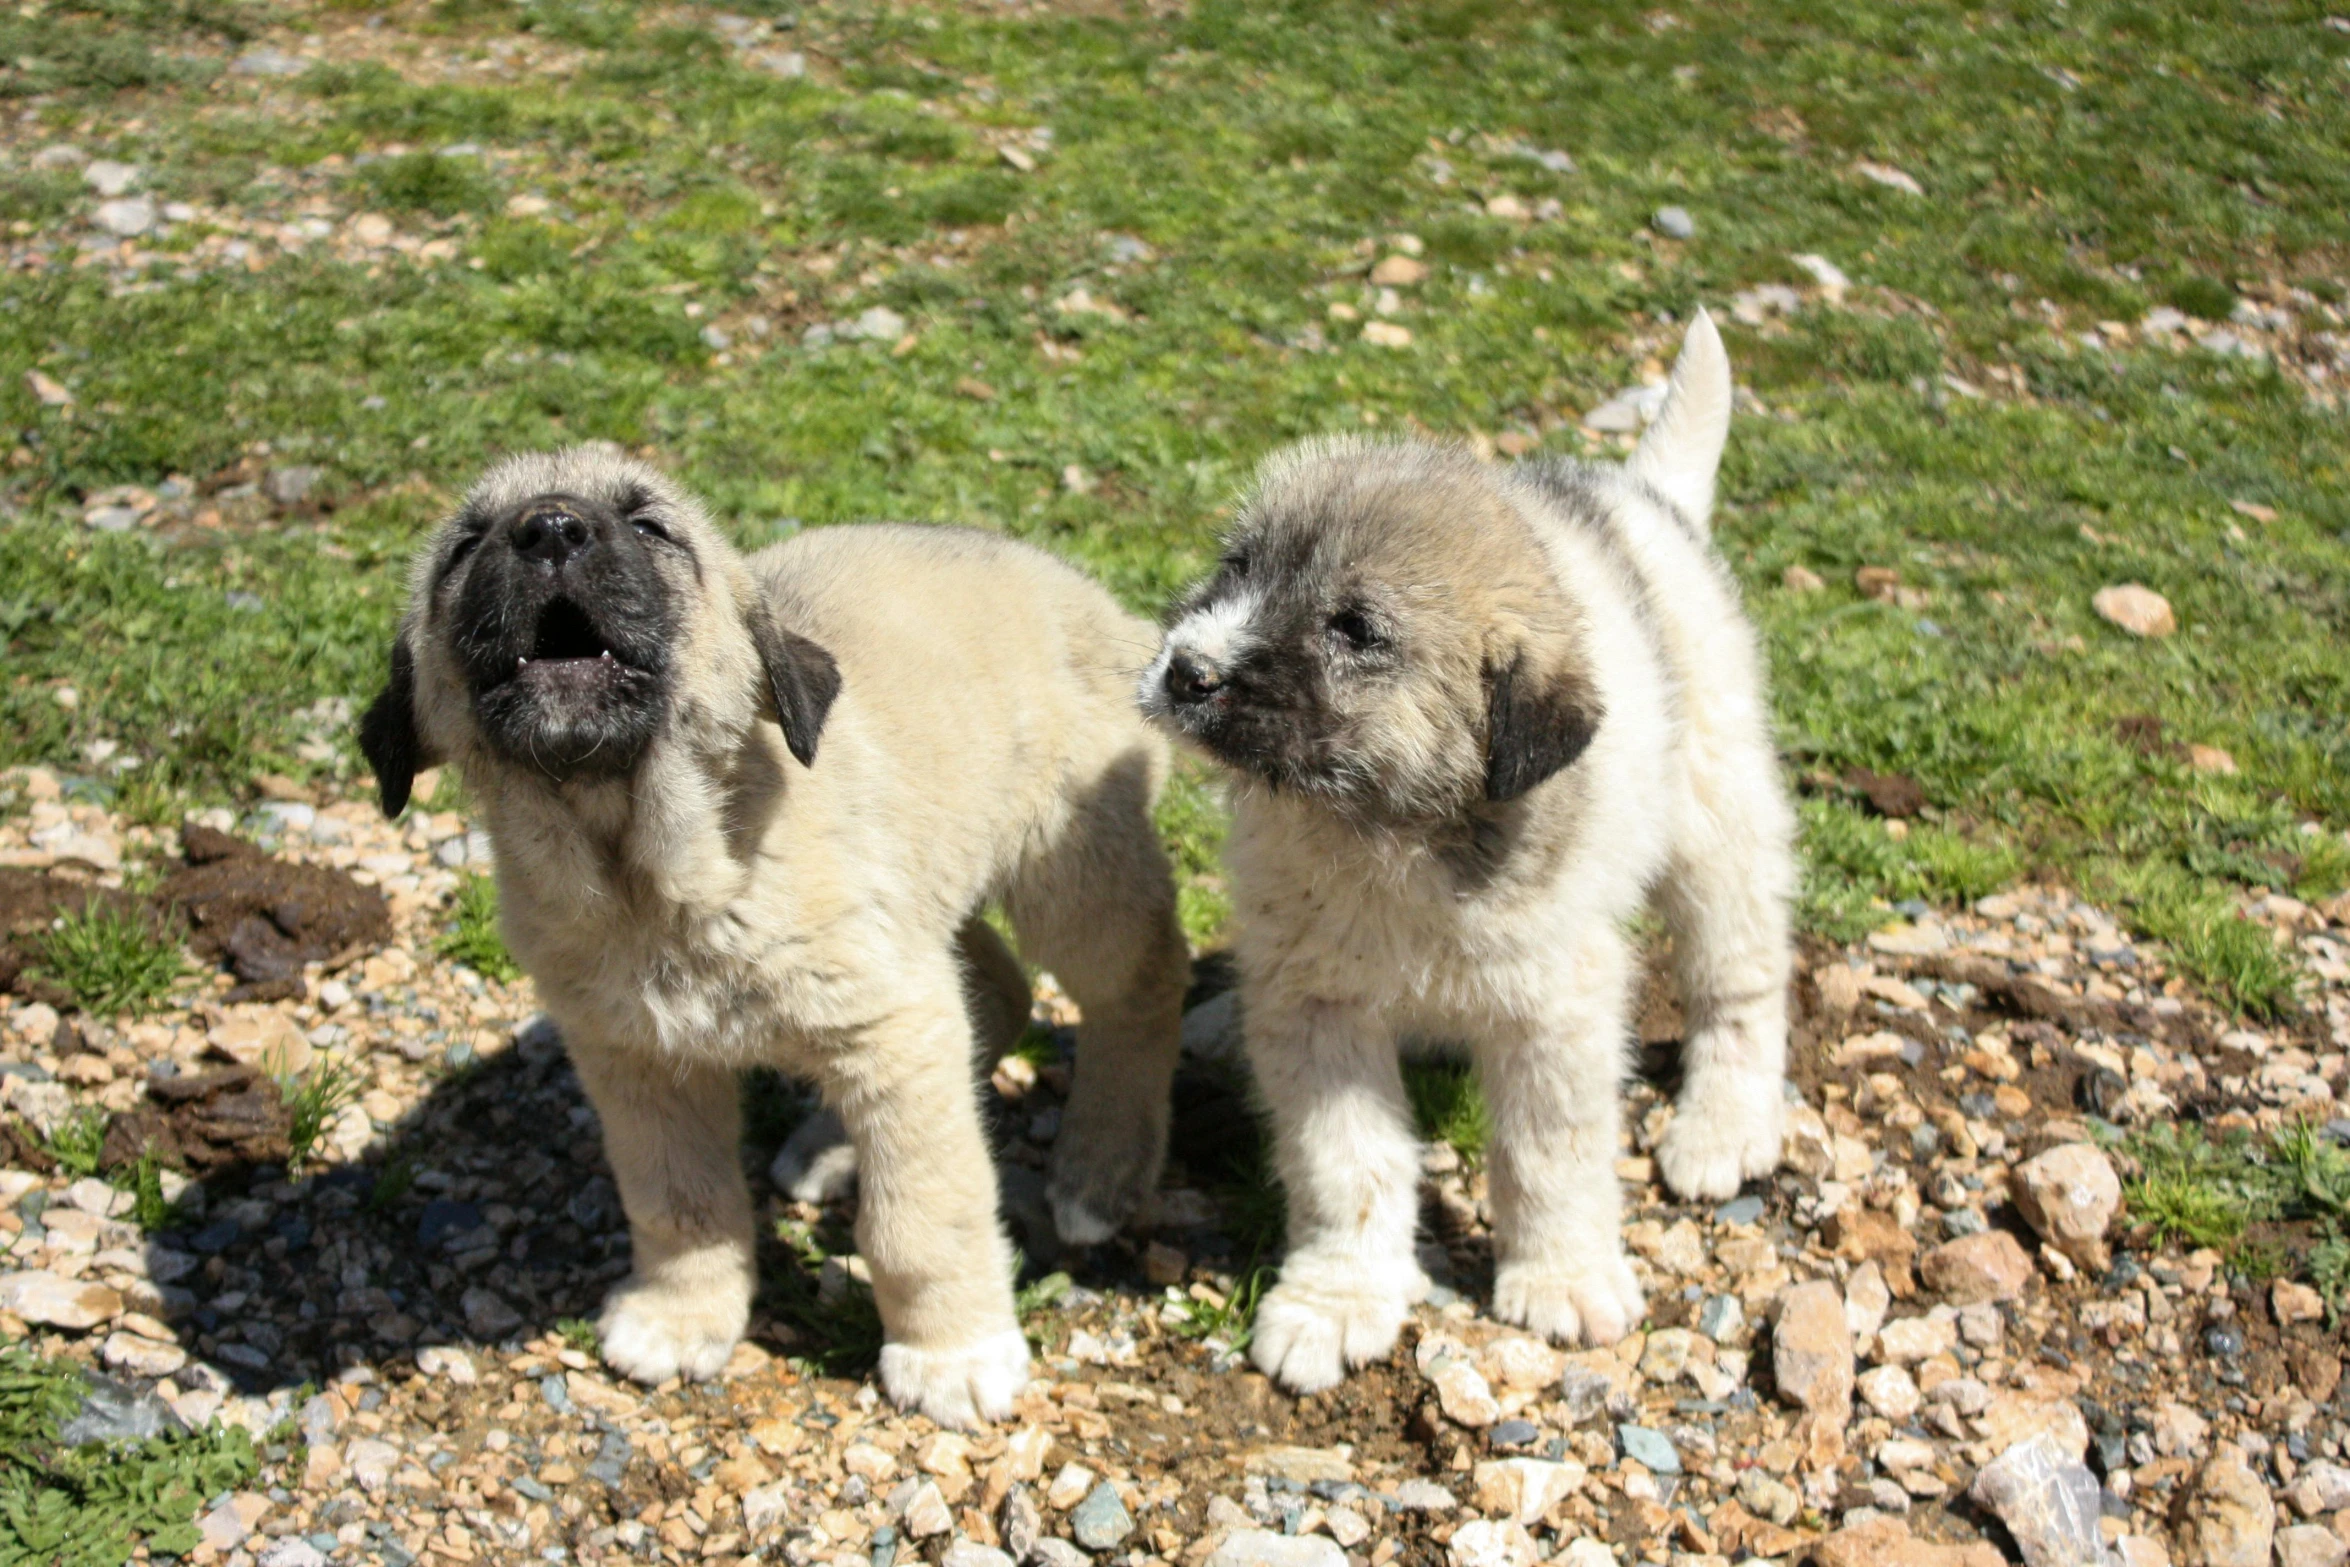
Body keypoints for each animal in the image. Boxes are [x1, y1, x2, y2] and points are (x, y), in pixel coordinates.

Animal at [354, 446, 1184, 1428]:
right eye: (464, 547)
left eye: (651, 526)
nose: (550, 528)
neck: (651, 879)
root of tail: (1105, 610)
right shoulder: (638, 1059)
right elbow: (679, 1201)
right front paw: (683, 1316)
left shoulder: (893, 1019)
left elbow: (921, 1214)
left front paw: (952, 1351)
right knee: (998, 991)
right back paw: (832, 1142)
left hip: (1071, 871)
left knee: (1141, 986)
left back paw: (1102, 1171)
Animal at [1146, 312, 1785, 1390]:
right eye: (1237, 567)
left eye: (1355, 628)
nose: (1186, 668)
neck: (1389, 832)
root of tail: (1643, 501)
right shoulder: (1318, 1007)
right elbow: (1347, 1164)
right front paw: (1339, 1296)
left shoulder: (1556, 1008)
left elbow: (1546, 1153)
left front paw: (1562, 1274)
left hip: (1718, 822)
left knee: (1739, 978)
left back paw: (1724, 1123)